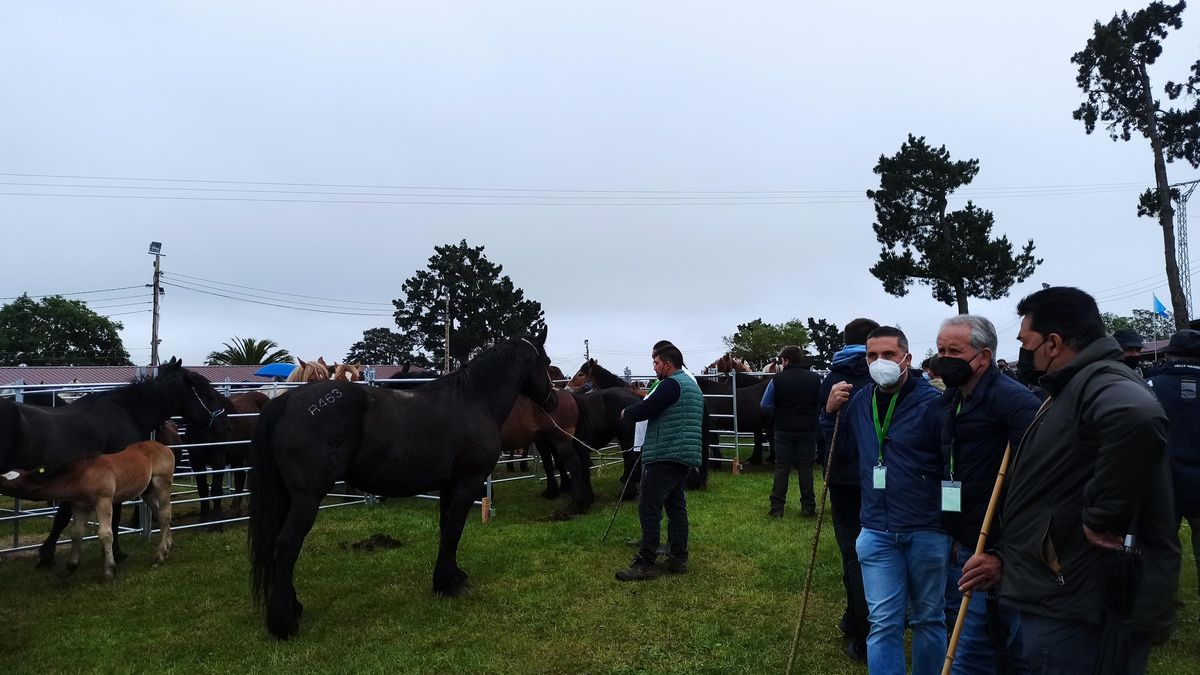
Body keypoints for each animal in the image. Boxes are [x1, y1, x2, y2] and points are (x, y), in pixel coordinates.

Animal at [0, 441, 175, 578]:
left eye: (7, 483)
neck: (82, 474)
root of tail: (165, 447)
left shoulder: (104, 501)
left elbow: (106, 534)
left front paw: (109, 571)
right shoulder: (79, 506)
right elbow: (77, 533)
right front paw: (71, 566)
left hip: (161, 484)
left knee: (165, 515)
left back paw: (159, 556)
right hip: (147, 491)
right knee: (160, 514)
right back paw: (168, 546)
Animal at [250, 326, 559, 634]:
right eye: (545, 361)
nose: (554, 401)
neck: (473, 401)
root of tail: (285, 402)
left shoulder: (448, 485)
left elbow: (446, 529)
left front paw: (448, 578)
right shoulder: (467, 483)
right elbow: (454, 529)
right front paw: (448, 585)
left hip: (287, 497)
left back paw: (294, 607)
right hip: (307, 498)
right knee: (287, 545)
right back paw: (283, 623)